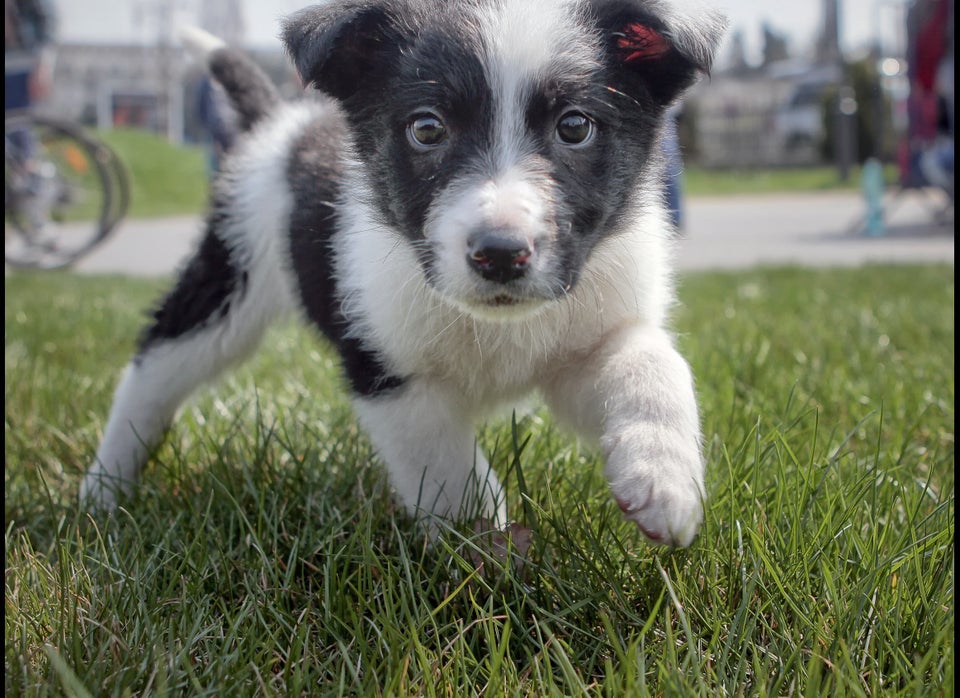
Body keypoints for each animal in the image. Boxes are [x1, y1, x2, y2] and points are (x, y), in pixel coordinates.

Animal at [82, 0, 724, 544]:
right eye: (427, 128)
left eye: (574, 126)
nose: (500, 254)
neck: (497, 326)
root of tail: (281, 124)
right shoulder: (387, 368)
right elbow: (447, 469)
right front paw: (483, 554)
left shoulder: (593, 328)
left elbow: (654, 364)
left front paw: (665, 481)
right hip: (229, 277)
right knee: (155, 367)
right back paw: (104, 489)